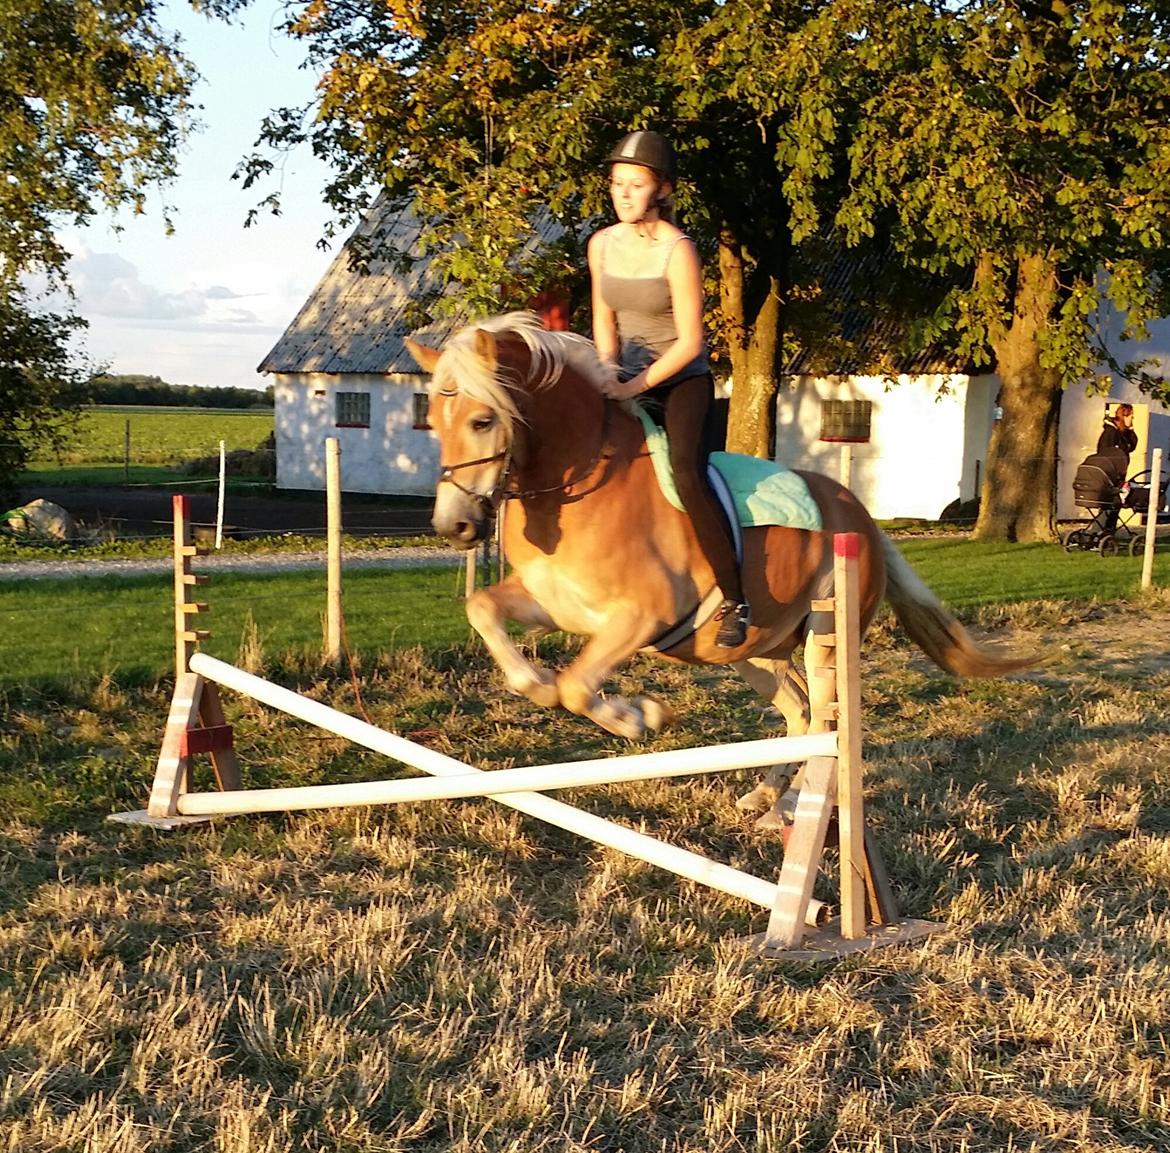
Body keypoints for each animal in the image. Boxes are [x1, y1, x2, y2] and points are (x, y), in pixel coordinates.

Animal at [407, 311, 1029, 824]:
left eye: (482, 421)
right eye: (432, 420)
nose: (453, 526)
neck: (584, 482)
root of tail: (863, 520)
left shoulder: (641, 618)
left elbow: (579, 687)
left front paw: (640, 717)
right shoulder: (553, 604)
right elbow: (484, 611)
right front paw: (536, 683)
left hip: (825, 636)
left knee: (824, 722)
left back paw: (794, 805)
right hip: (754, 651)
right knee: (798, 715)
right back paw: (766, 798)